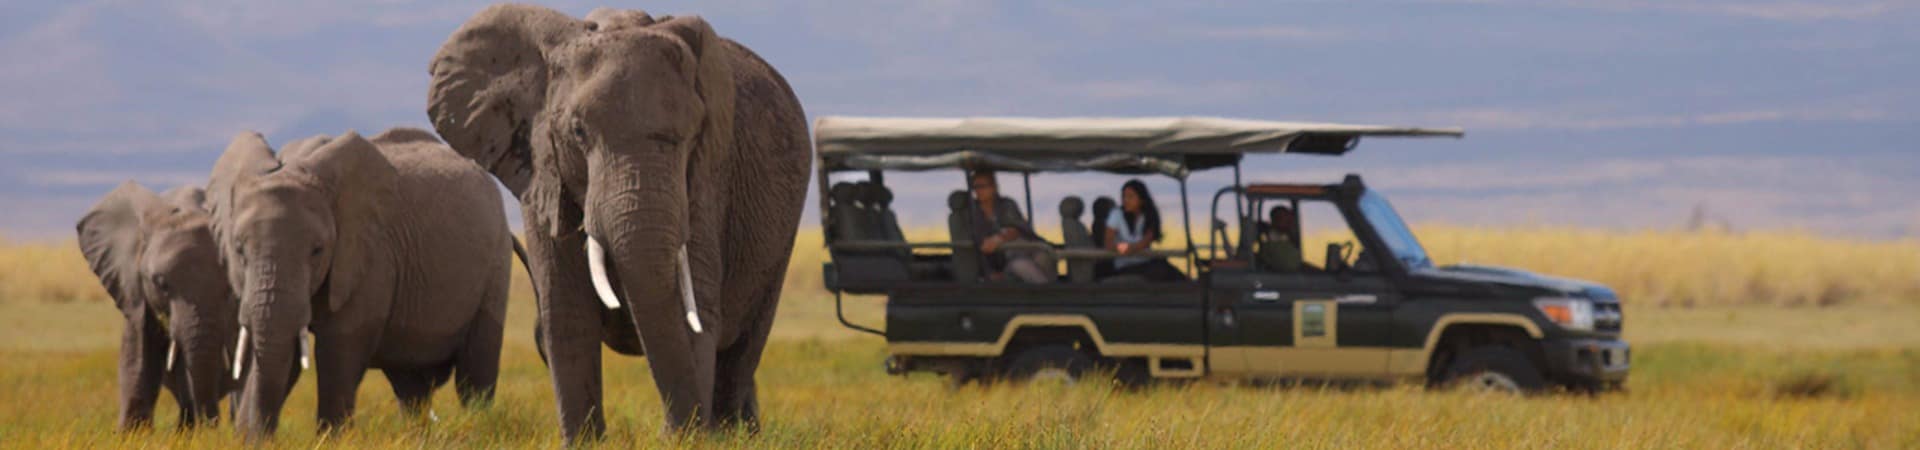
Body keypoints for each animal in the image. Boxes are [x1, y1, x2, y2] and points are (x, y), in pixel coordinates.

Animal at [77, 181, 239, 428]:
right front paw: (132, 433)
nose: (211, 425)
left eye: (230, 287)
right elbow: (138, 358)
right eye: (161, 283)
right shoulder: (135, 291)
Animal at [206, 127, 514, 438]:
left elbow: (338, 351)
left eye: (317, 251)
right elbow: (285, 350)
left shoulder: (369, 256)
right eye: (239, 249)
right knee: (410, 387)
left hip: (497, 262)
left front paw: (331, 440)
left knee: (474, 375)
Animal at [424, 3, 814, 440]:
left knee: (744, 347)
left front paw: (686, 439)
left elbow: (692, 308)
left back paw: (732, 432)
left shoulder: (706, 182)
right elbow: (567, 313)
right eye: (577, 131)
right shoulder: (541, 172)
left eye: (692, 133)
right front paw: (584, 442)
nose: (677, 431)